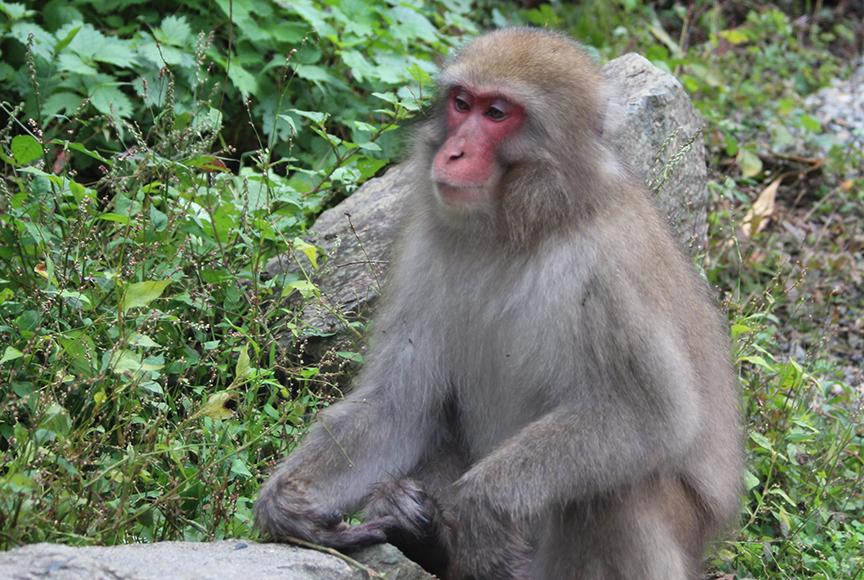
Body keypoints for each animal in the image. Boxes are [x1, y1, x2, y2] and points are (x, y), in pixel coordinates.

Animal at [254, 28, 742, 580]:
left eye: (496, 113)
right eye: (461, 104)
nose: (454, 152)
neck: (517, 231)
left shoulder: (611, 269)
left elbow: (653, 414)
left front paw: (486, 504)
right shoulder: (425, 246)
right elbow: (399, 406)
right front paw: (289, 503)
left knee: (622, 492)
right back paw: (418, 529)